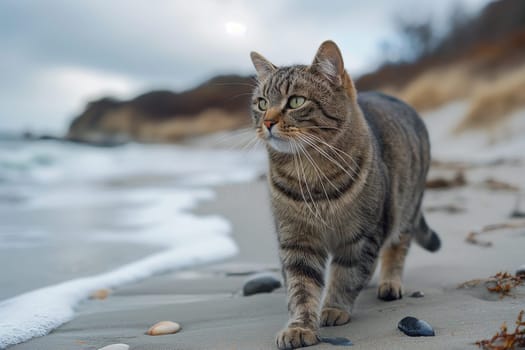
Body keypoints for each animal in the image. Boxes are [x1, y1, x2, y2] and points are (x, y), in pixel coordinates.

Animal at [249, 39, 438, 348]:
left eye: (296, 101)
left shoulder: (361, 236)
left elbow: (346, 275)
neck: (311, 175)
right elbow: (301, 287)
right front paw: (300, 326)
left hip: (406, 208)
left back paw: (390, 282)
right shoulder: (296, 239)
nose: (267, 122)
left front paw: (334, 308)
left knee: (397, 248)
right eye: (262, 103)